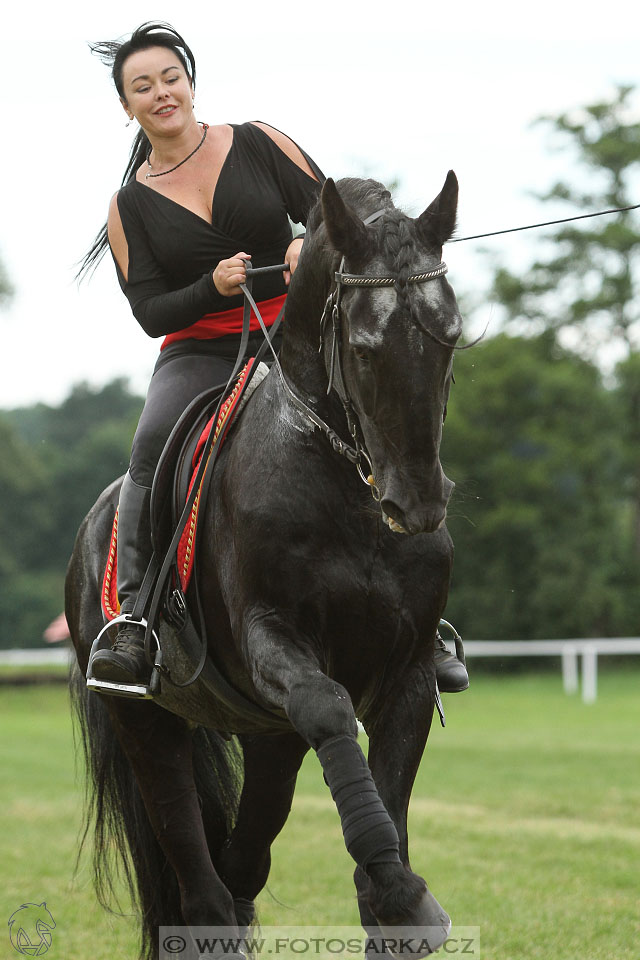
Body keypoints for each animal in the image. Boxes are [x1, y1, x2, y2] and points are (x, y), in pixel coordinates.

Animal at [67, 174, 462, 960]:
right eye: (364, 349)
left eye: (452, 336)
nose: (418, 504)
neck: (344, 481)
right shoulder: (272, 639)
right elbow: (328, 705)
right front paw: (407, 895)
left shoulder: (407, 673)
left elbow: (381, 850)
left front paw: (395, 895)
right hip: (147, 726)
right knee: (203, 893)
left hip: (268, 739)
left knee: (241, 864)